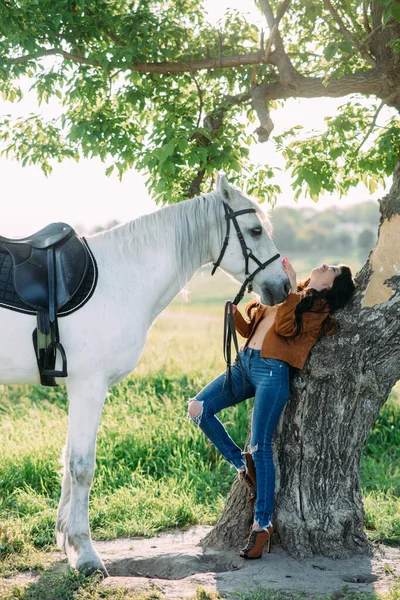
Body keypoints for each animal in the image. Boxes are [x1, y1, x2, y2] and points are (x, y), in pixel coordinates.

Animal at [0, 171, 288, 576]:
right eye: (255, 230)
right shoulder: (89, 386)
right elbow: (81, 466)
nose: (283, 286)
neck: (121, 278)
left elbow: (68, 460)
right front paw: (85, 553)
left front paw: (66, 541)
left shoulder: (79, 389)